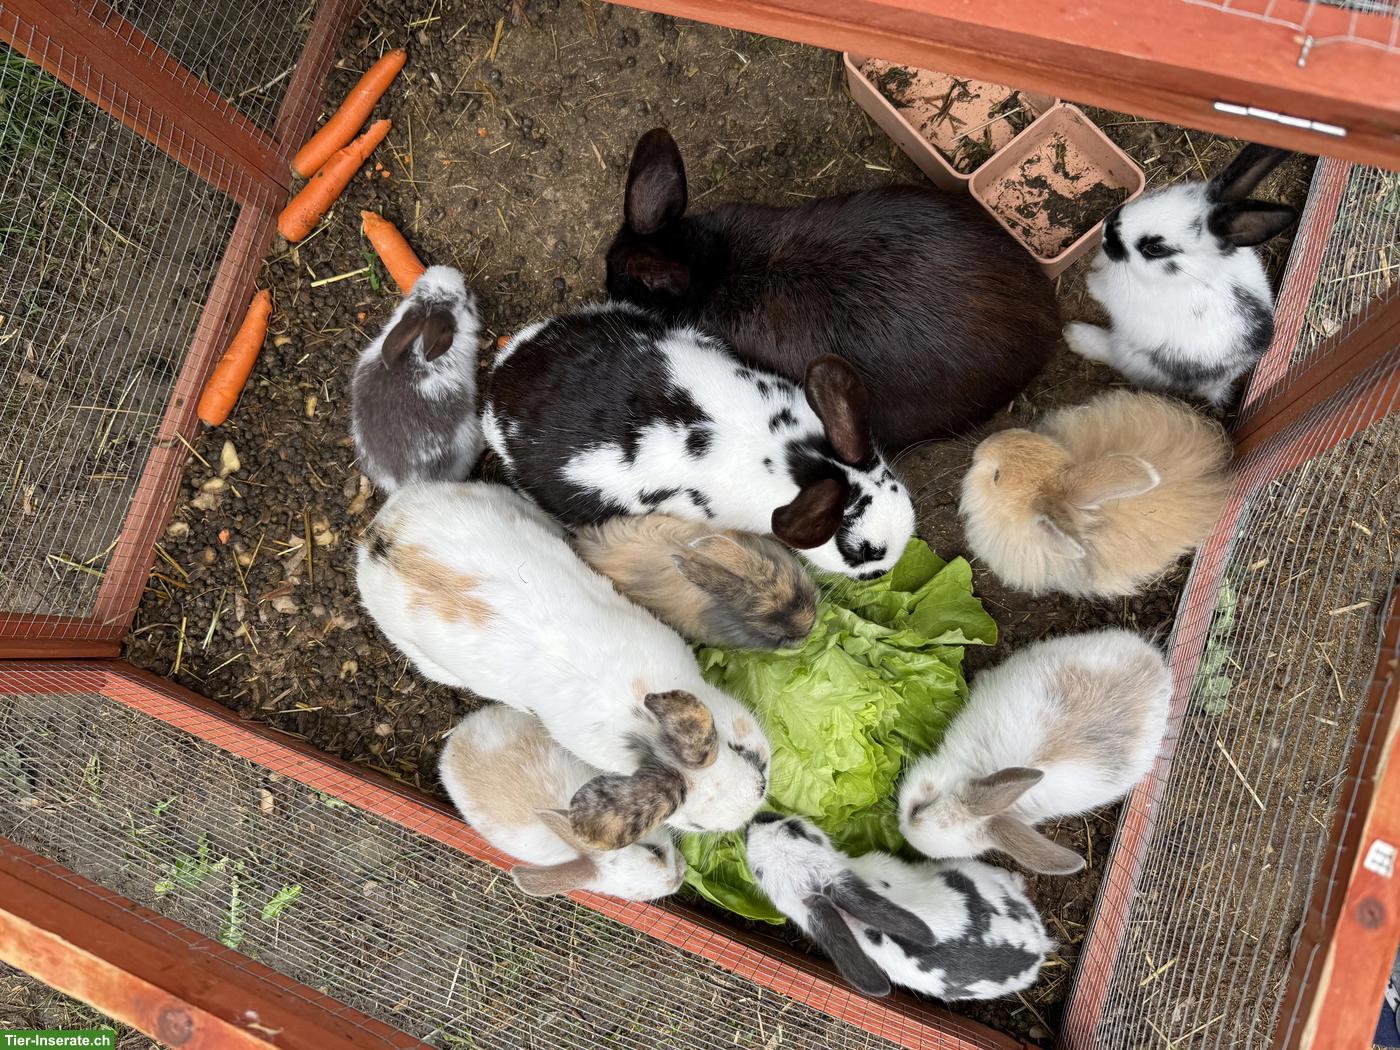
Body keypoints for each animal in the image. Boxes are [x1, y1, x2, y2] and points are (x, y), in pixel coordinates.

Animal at [1063, 143, 1299, 407]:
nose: (1105, 230)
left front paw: (1090, 282)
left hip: (1133, 353)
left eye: (1154, 249)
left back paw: (1075, 335)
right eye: (1157, 194)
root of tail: (1219, 384)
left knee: (1114, 353)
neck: (1185, 273)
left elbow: (1101, 289)